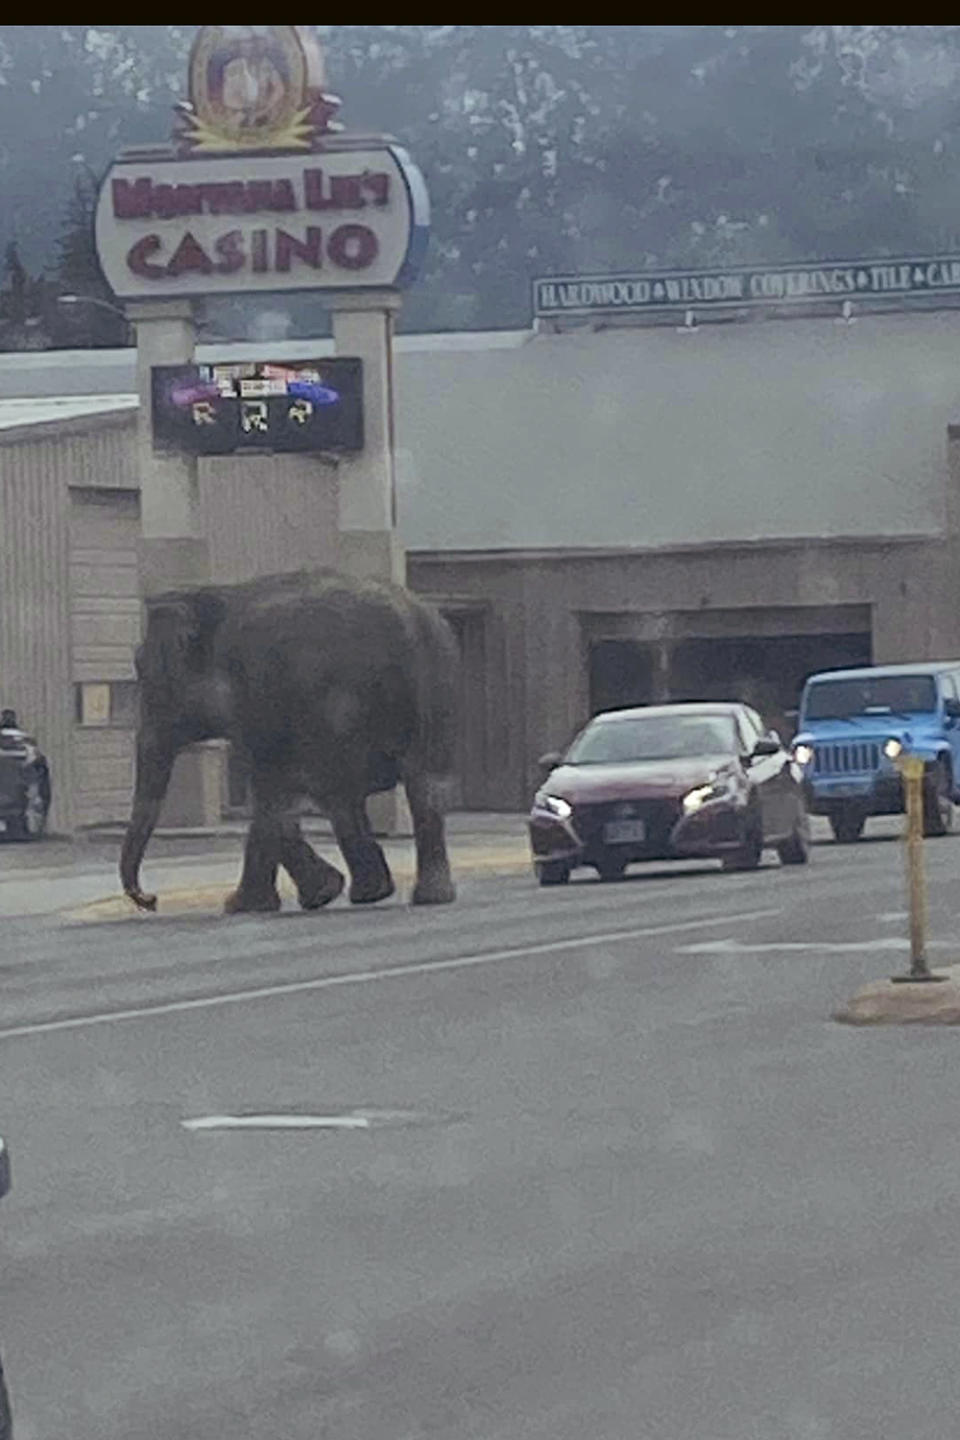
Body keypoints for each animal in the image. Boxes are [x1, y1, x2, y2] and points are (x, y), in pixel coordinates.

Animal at [119, 564, 457, 910]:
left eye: (145, 675)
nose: (150, 899)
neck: (217, 597)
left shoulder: (259, 696)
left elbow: (269, 793)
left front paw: (242, 905)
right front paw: (325, 891)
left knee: (349, 789)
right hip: (433, 690)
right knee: (420, 787)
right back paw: (405, 895)